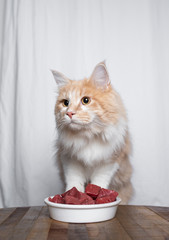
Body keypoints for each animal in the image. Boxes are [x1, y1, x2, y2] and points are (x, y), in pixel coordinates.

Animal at [52, 61, 133, 203]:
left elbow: (98, 183)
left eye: (86, 100)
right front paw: (73, 196)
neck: (88, 136)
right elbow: (74, 182)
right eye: (65, 103)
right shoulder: (69, 159)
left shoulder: (110, 161)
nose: (69, 113)